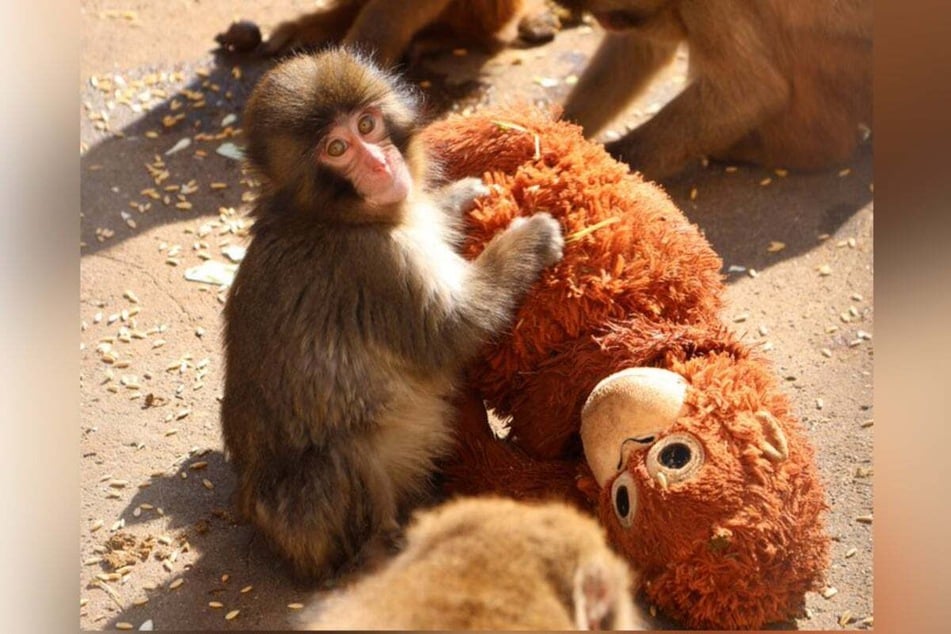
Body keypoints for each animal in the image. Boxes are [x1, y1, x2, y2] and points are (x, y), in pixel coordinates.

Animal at [221, 48, 564, 582]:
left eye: (367, 124)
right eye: (337, 148)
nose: (381, 163)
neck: (335, 216)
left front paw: (458, 197)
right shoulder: (376, 265)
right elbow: (452, 330)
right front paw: (528, 240)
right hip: (309, 521)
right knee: (340, 457)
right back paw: (381, 549)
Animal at [553, 0, 873, 180]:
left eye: (609, 16)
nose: (605, 22)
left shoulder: (710, 4)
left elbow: (750, 91)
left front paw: (607, 168)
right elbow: (642, 48)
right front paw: (561, 128)